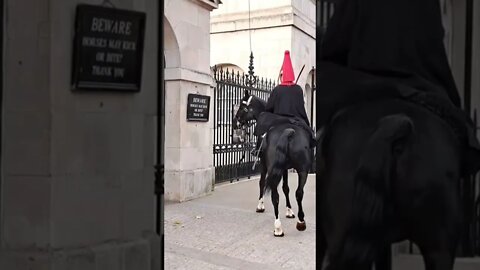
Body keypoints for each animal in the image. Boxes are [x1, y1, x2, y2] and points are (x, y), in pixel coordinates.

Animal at [233, 89, 316, 235]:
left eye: (242, 106)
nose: (235, 122)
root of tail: (289, 132)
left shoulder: (263, 163)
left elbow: (262, 183)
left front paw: (260, 205)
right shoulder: (284, 168)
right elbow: (286, 188)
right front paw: (289, 211)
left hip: (277, 168)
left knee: (276, 195)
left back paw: (281, 226)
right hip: (302, 170)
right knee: (298, 193)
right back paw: (296, 222)